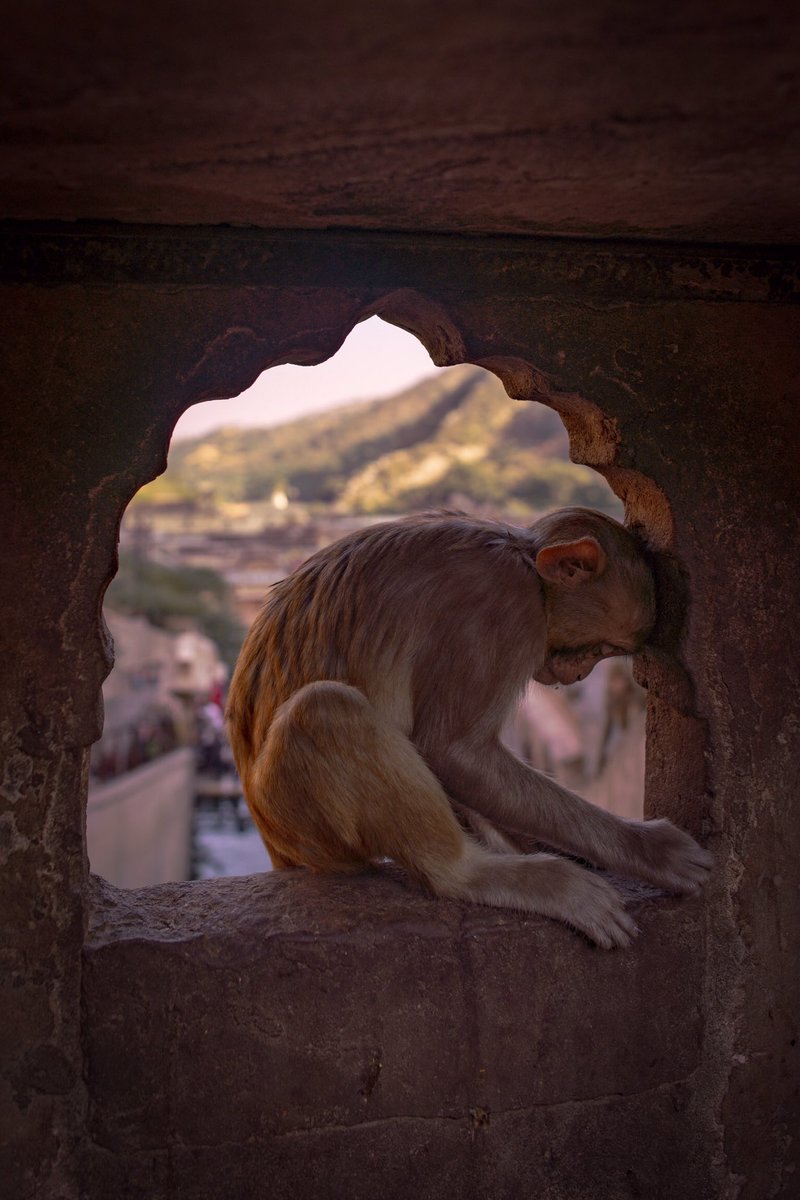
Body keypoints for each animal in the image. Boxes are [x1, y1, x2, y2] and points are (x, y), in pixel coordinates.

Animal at [226, 507, 712, 948]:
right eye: (603, 647)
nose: (578, 677)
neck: (526, 564)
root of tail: (272, 838)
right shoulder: (502, 614)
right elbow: (452, 751)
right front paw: (646, 849)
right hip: (300, 826)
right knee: (326, 709)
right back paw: (484, 875)